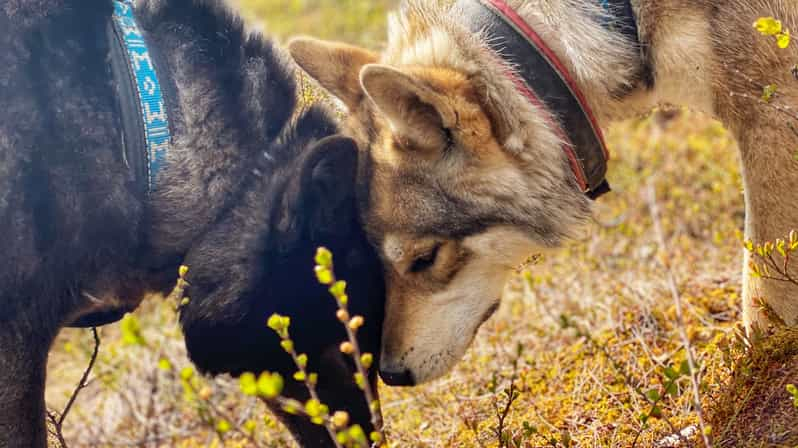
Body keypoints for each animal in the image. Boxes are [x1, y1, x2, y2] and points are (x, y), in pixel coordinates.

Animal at [290, 0, 798, 384]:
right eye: (377, 260)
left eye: (424, 259)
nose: (390, 374)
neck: (618, 19)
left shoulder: (769, 115)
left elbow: (762, 294)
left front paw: (761, 374)